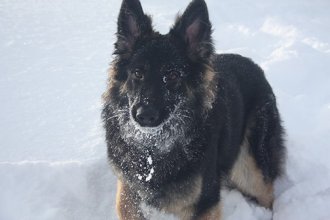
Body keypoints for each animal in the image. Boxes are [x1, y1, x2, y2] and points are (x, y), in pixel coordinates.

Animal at [102, 0, 284, 218]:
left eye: (172, 75)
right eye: (138, 73)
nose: (144, 116)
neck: (153, 149)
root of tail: (255, 66)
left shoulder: (206, 202)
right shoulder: (128, 186)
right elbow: (124, 205)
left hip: (249, 168)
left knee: (267, 196)